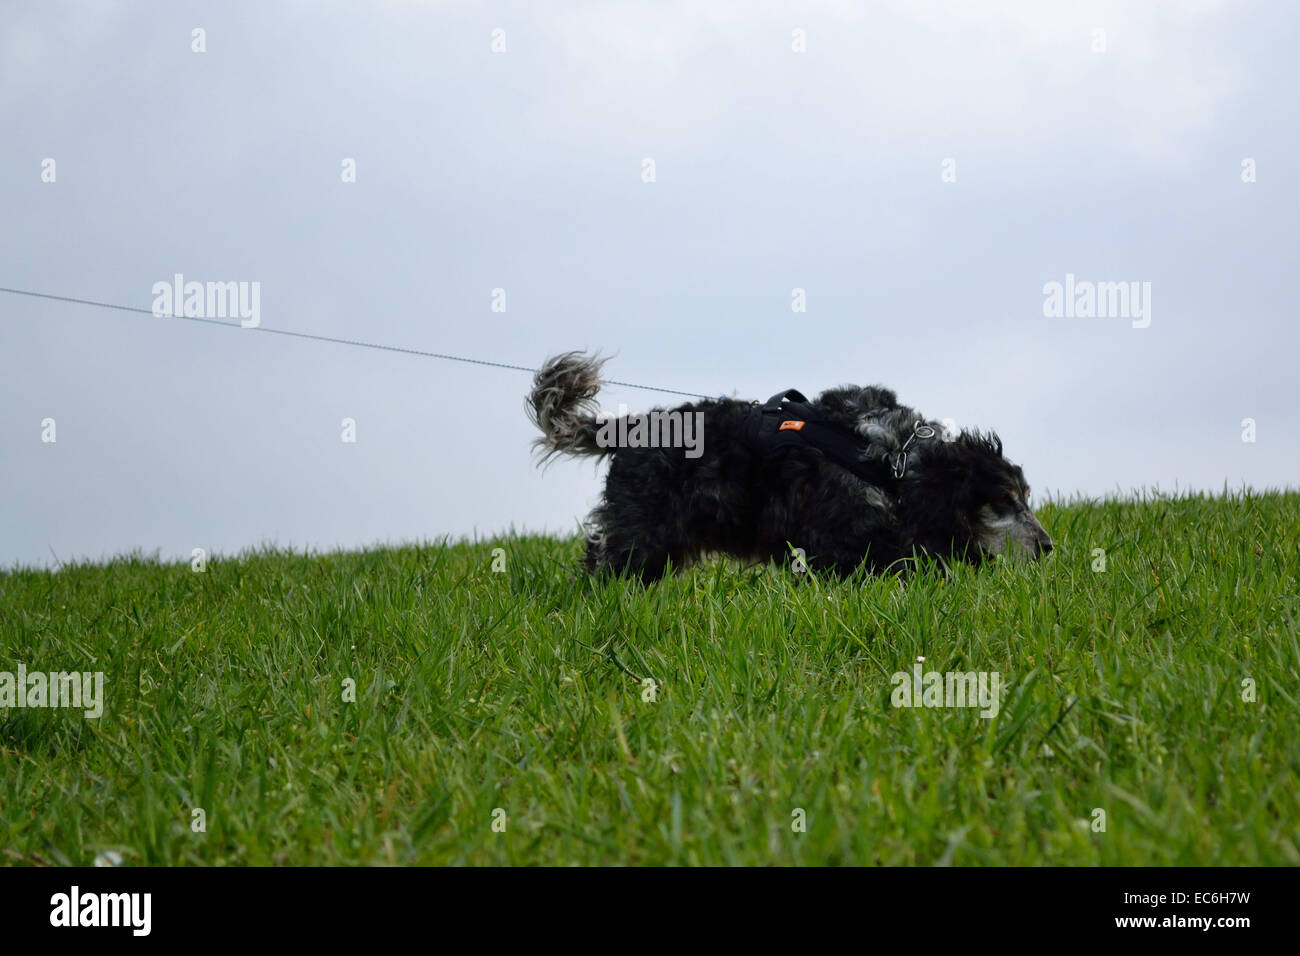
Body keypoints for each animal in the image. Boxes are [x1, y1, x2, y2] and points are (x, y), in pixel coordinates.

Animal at [522, 348, 1050, 580]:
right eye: (1003, 501)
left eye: (1027, 498)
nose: (1048, 546)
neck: (895, 459)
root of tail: (629, 427)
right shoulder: (839, 537)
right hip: (640, 533)